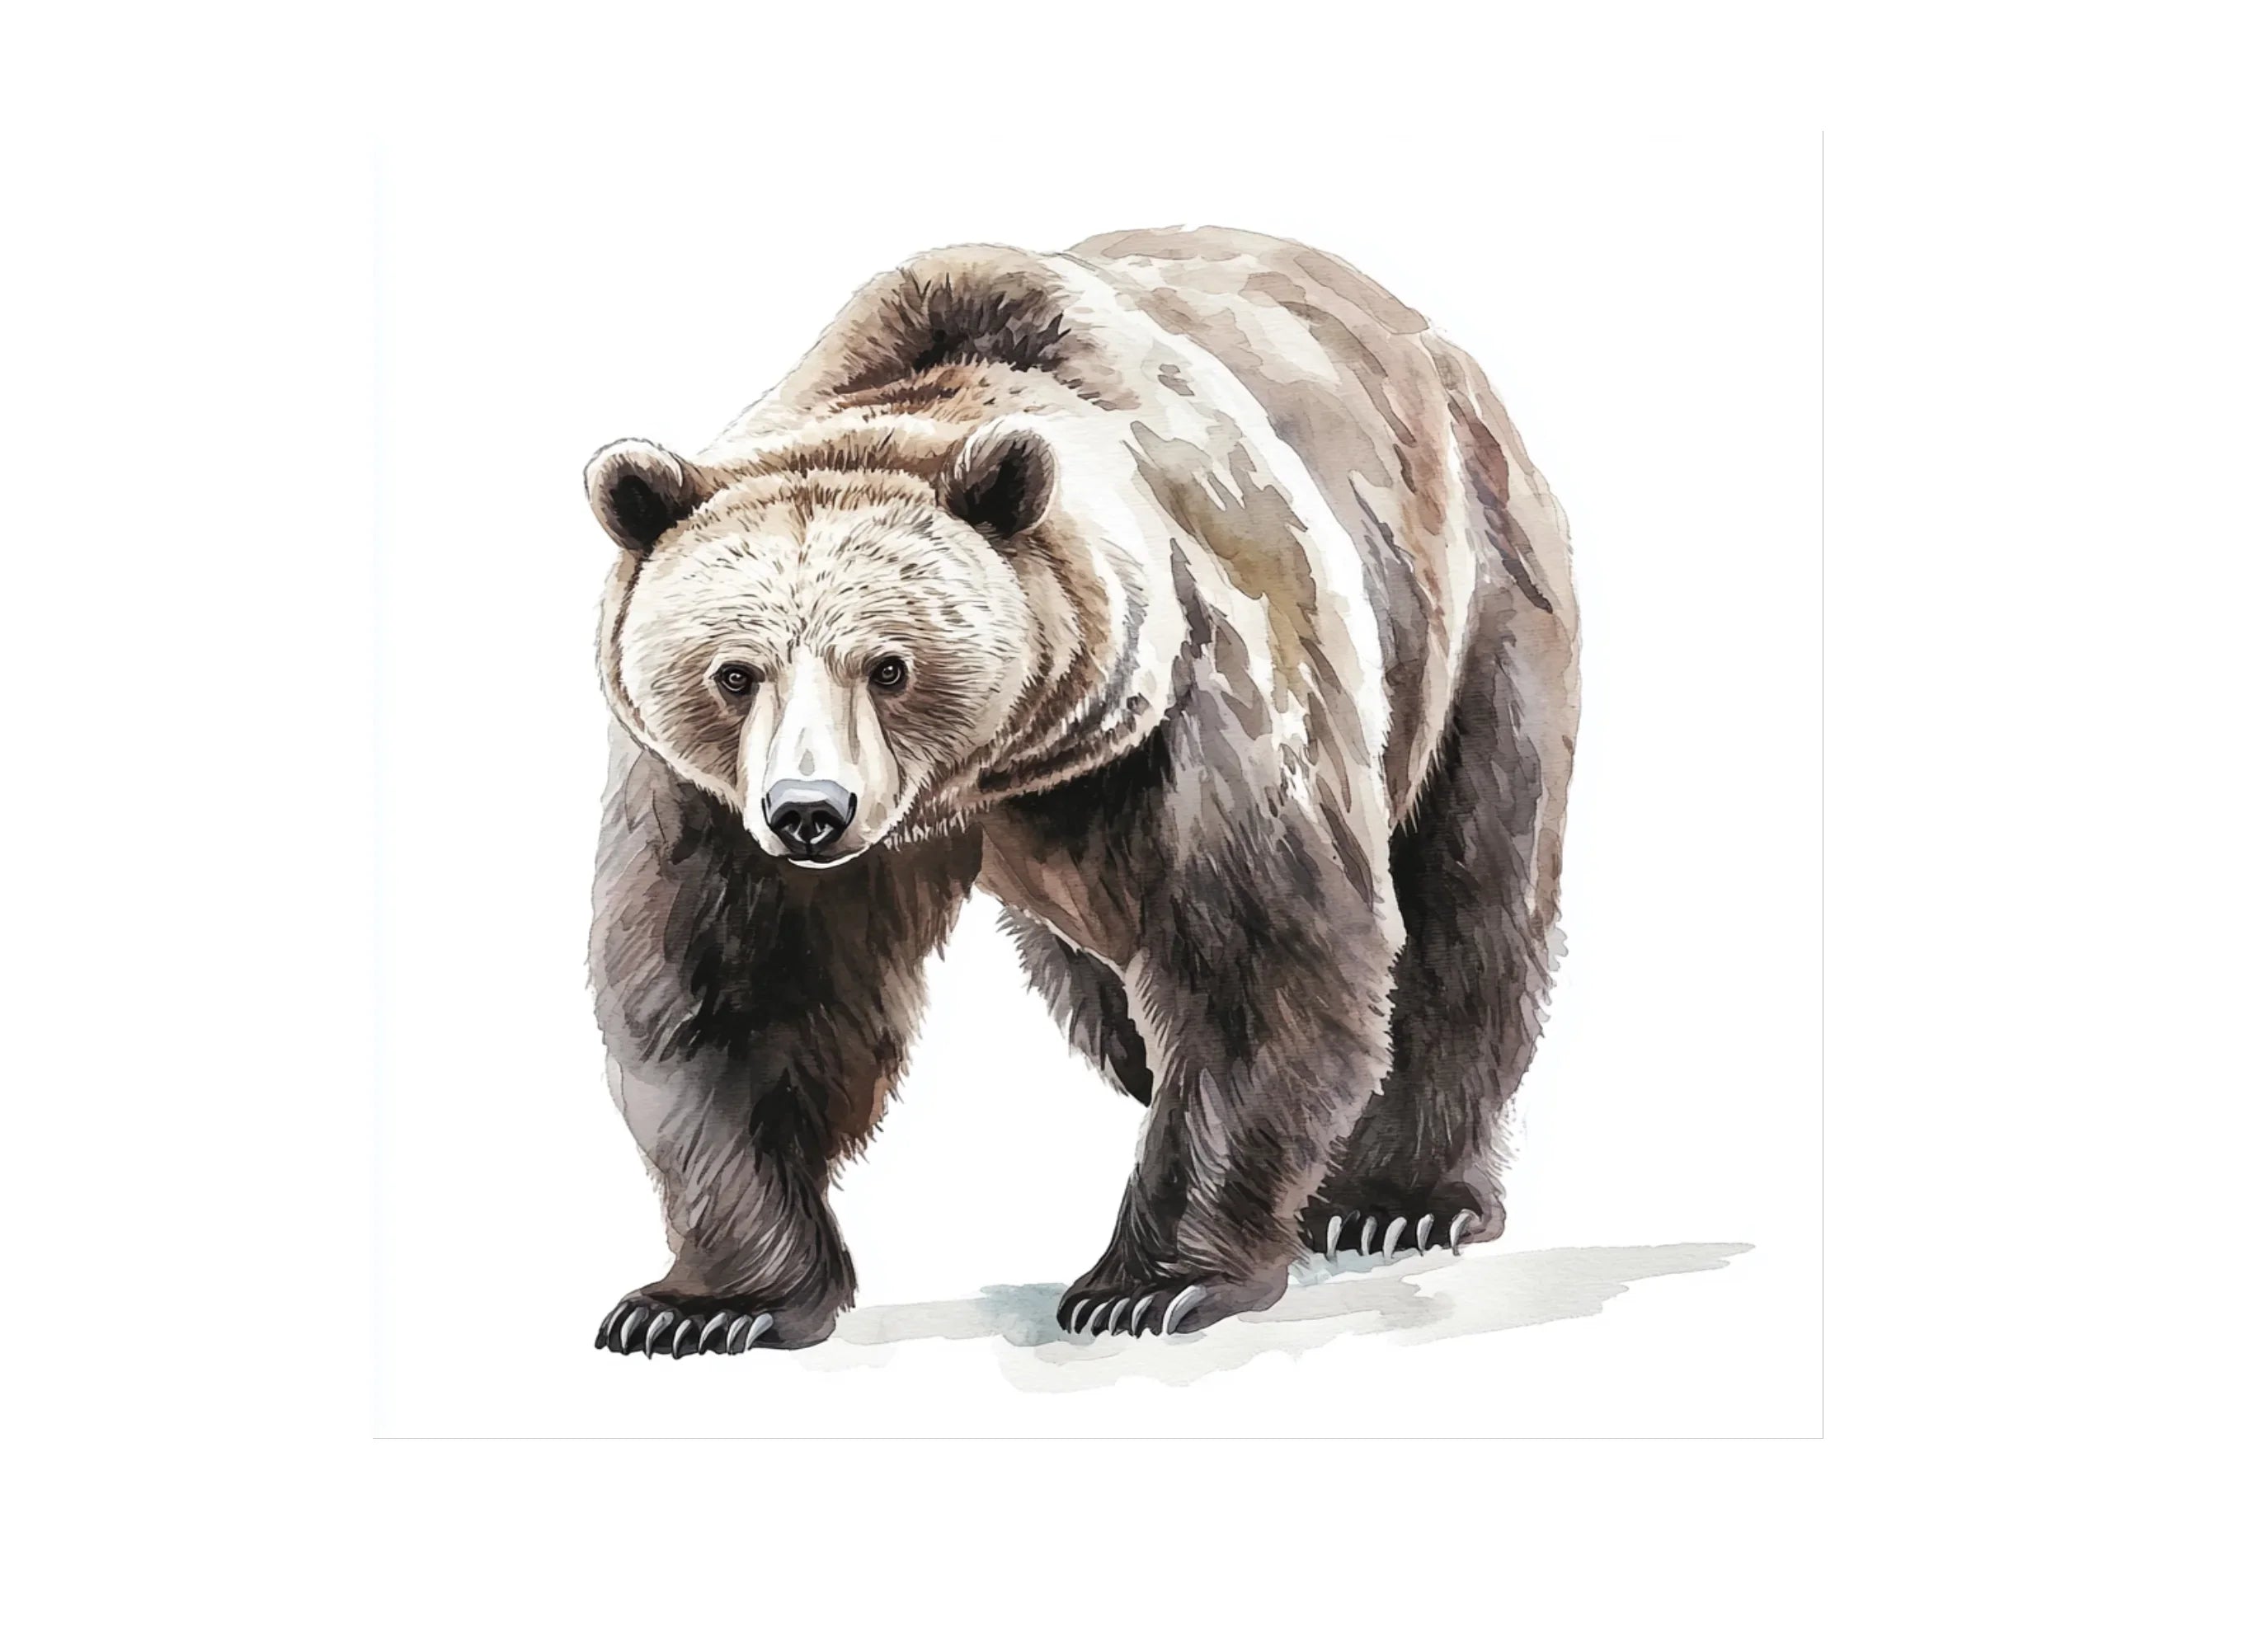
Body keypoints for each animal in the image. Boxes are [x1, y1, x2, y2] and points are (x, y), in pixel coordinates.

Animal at [584, 227, 1579, 1355]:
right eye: (733, 671)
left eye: (889, 666)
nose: (809, 810)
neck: (999, 768)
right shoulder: (709, 800)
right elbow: (734, 990)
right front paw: (711, 1302)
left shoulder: (1201, 701)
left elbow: (1261, 964)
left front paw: (1148, 1283)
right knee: (1104, 998)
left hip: (1472, 609)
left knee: (1470, 897)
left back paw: (1396, 1196)